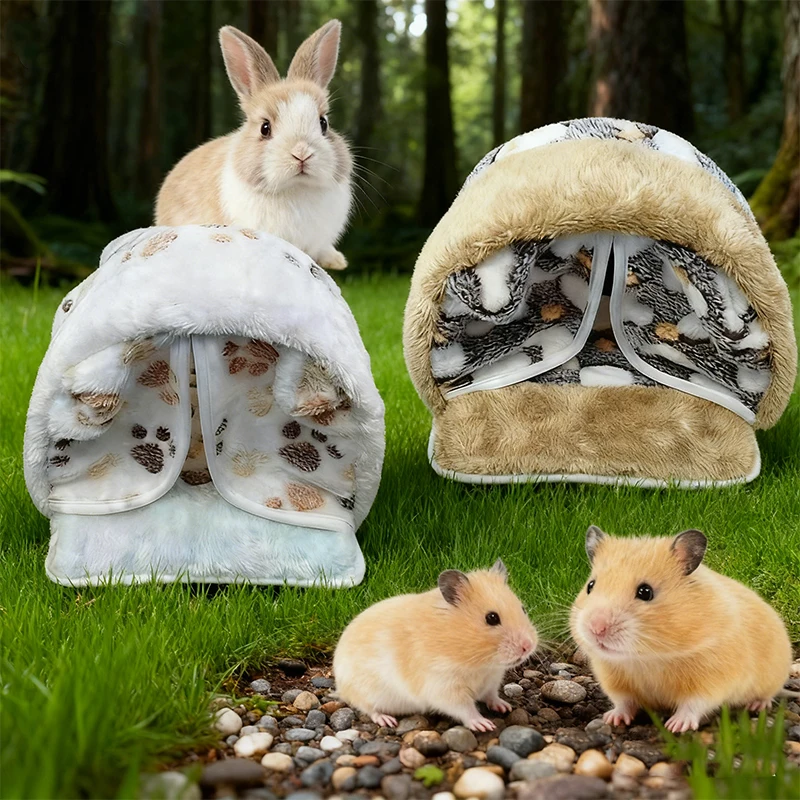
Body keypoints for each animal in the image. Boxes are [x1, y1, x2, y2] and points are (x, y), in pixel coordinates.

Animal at [333, 560, 537, 731]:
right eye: (492, 618)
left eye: (523, 609)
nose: (528, 646)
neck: (481, 664)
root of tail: (340, 687)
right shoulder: (444, 688)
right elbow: (465, 709)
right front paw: (484, 725)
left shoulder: (492, 680)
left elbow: (492, 695)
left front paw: (505, 707)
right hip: (363, 692)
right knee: (367, 708)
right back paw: (386, 720)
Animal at [570, 525, 794, 733]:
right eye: (590, 586)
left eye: (645, 592)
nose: (596, 628)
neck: (646, 658)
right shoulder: (614, 678)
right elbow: (624, 701)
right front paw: (612, 719)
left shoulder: (713, 678)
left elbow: (693, 704)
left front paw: (675, 726)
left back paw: (757, 705)